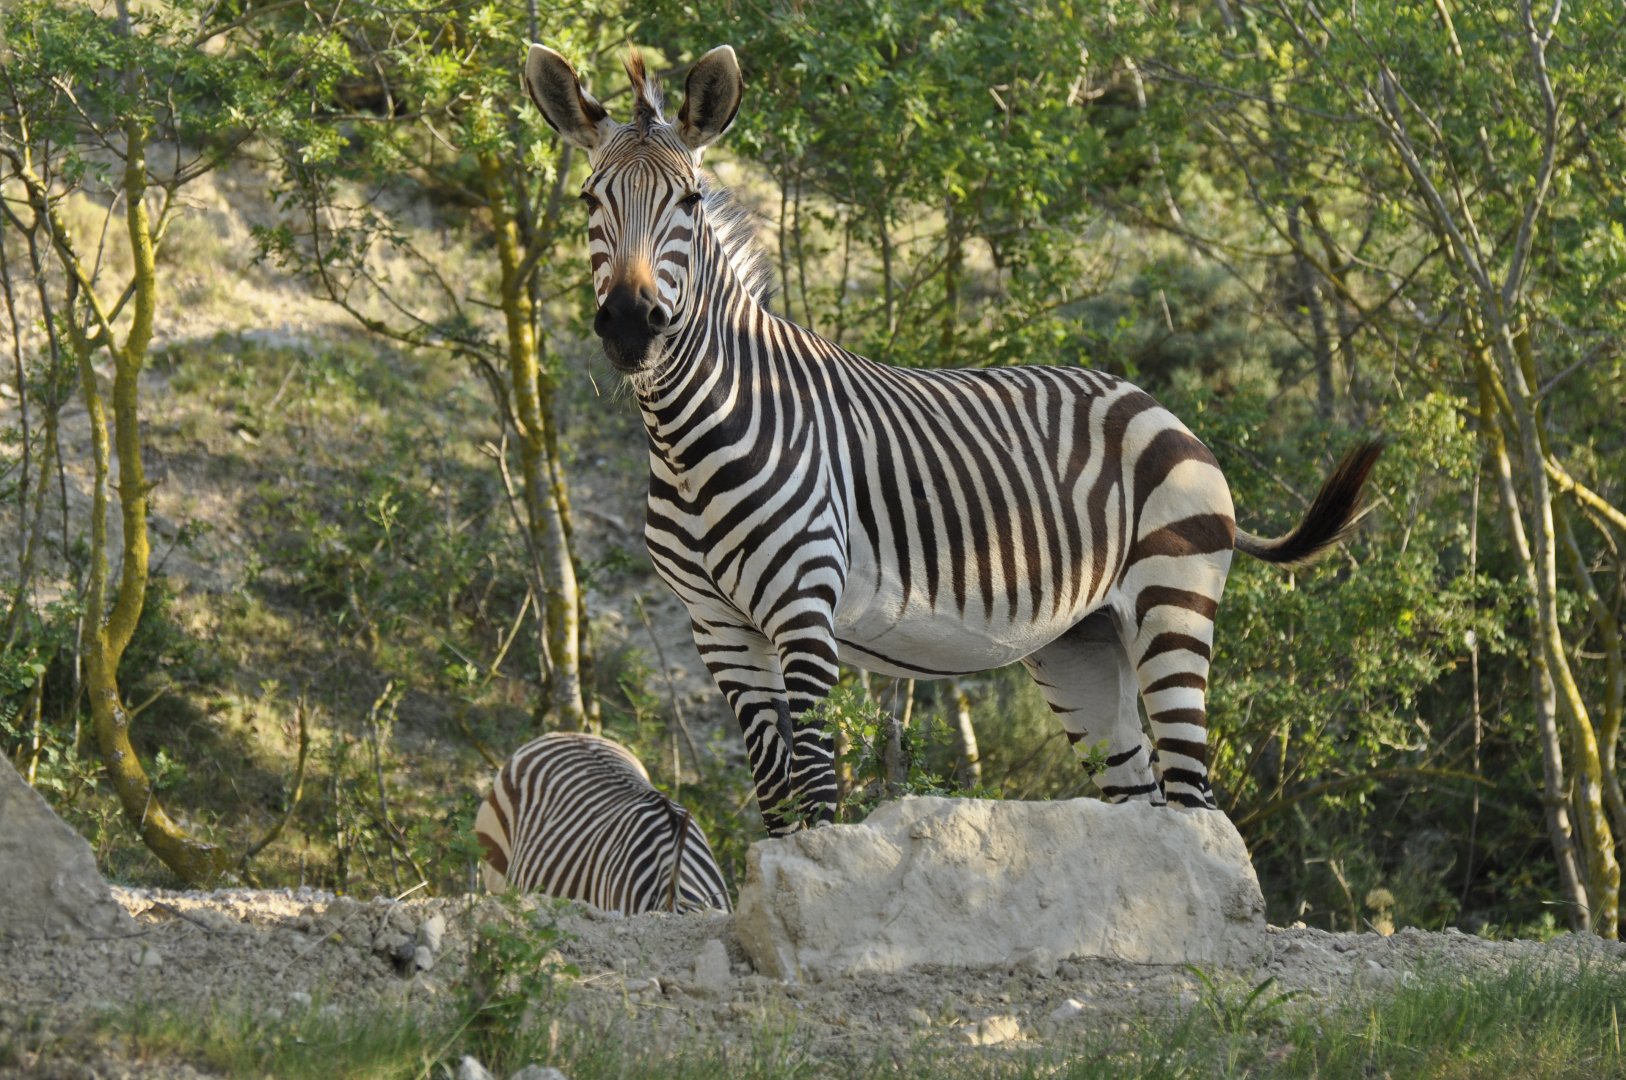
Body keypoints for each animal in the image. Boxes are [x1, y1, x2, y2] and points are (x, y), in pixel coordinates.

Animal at [522, 44, 1383, 835]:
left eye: (690, 200)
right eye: (591, 197)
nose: (631, 325)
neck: (690, 439)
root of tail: (1160, 409)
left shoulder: (804, 610)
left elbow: (816, 791)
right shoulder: (717, 628)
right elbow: (776, 803)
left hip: (1173, 604)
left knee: (1194, 795)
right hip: (1082, 643)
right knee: (1140, 794)